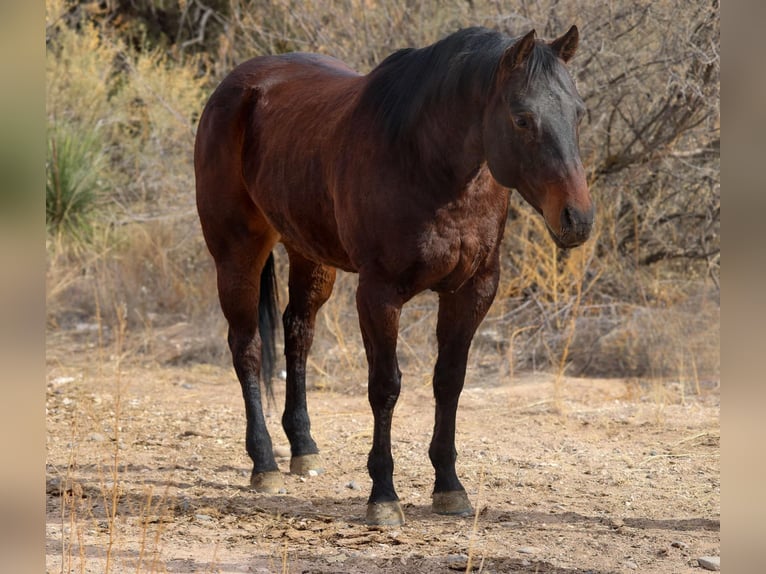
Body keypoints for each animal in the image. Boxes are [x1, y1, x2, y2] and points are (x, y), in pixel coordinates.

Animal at [194, 24, 593, 527]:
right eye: (522, 118)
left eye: (578, 112)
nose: (577, 218)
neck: (425, 160)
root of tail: (237, 86)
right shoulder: (379, 294)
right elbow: (385, 387)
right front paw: (383, 496)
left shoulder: (472, 290)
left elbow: (449, 381)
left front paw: (449, 487)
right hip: (237, 252)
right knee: (246, 348)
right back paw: (264, 463)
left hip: (310, 254)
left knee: (297, 334)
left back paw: (303, 448)